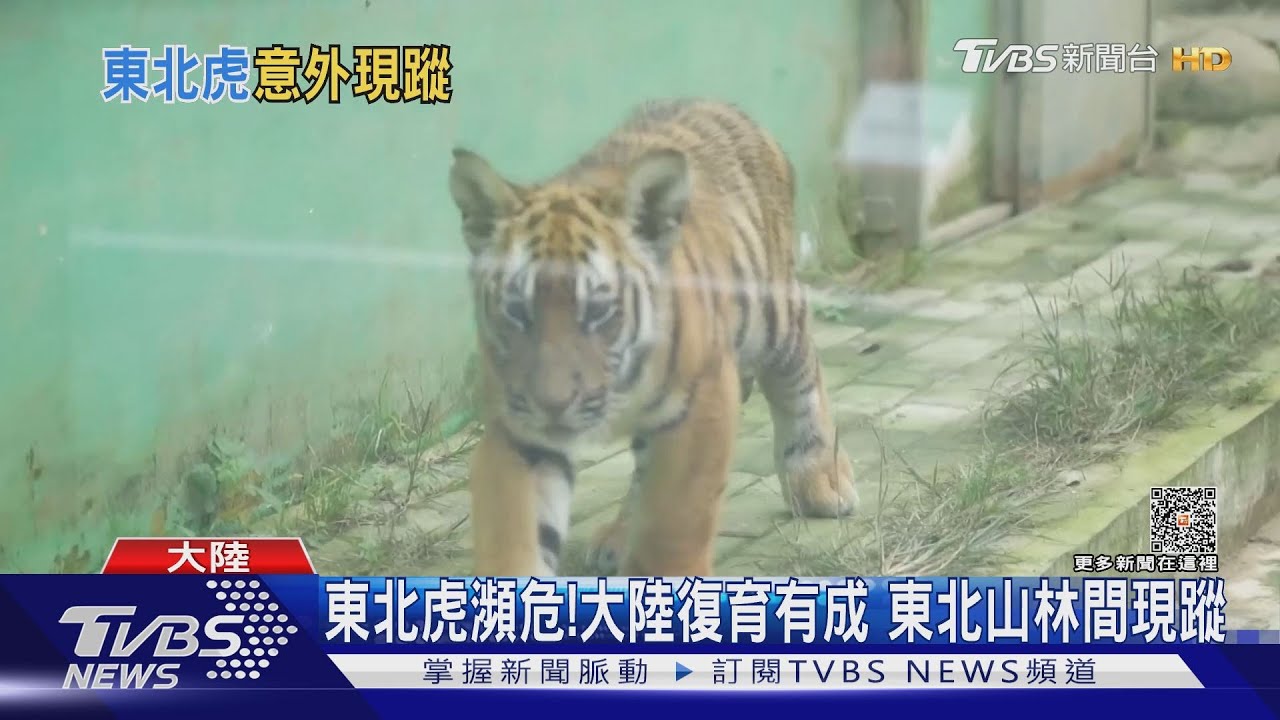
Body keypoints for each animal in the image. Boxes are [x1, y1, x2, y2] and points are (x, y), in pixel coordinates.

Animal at [446, 98, 858, 577]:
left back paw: (819, 481)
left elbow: (673, 522)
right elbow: (515, 529)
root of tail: (715, 101)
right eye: (517, 310)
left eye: (598, 311)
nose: (553, 404)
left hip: (775, 311)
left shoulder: (701, 403)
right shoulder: (519, 429)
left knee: (800, 375)